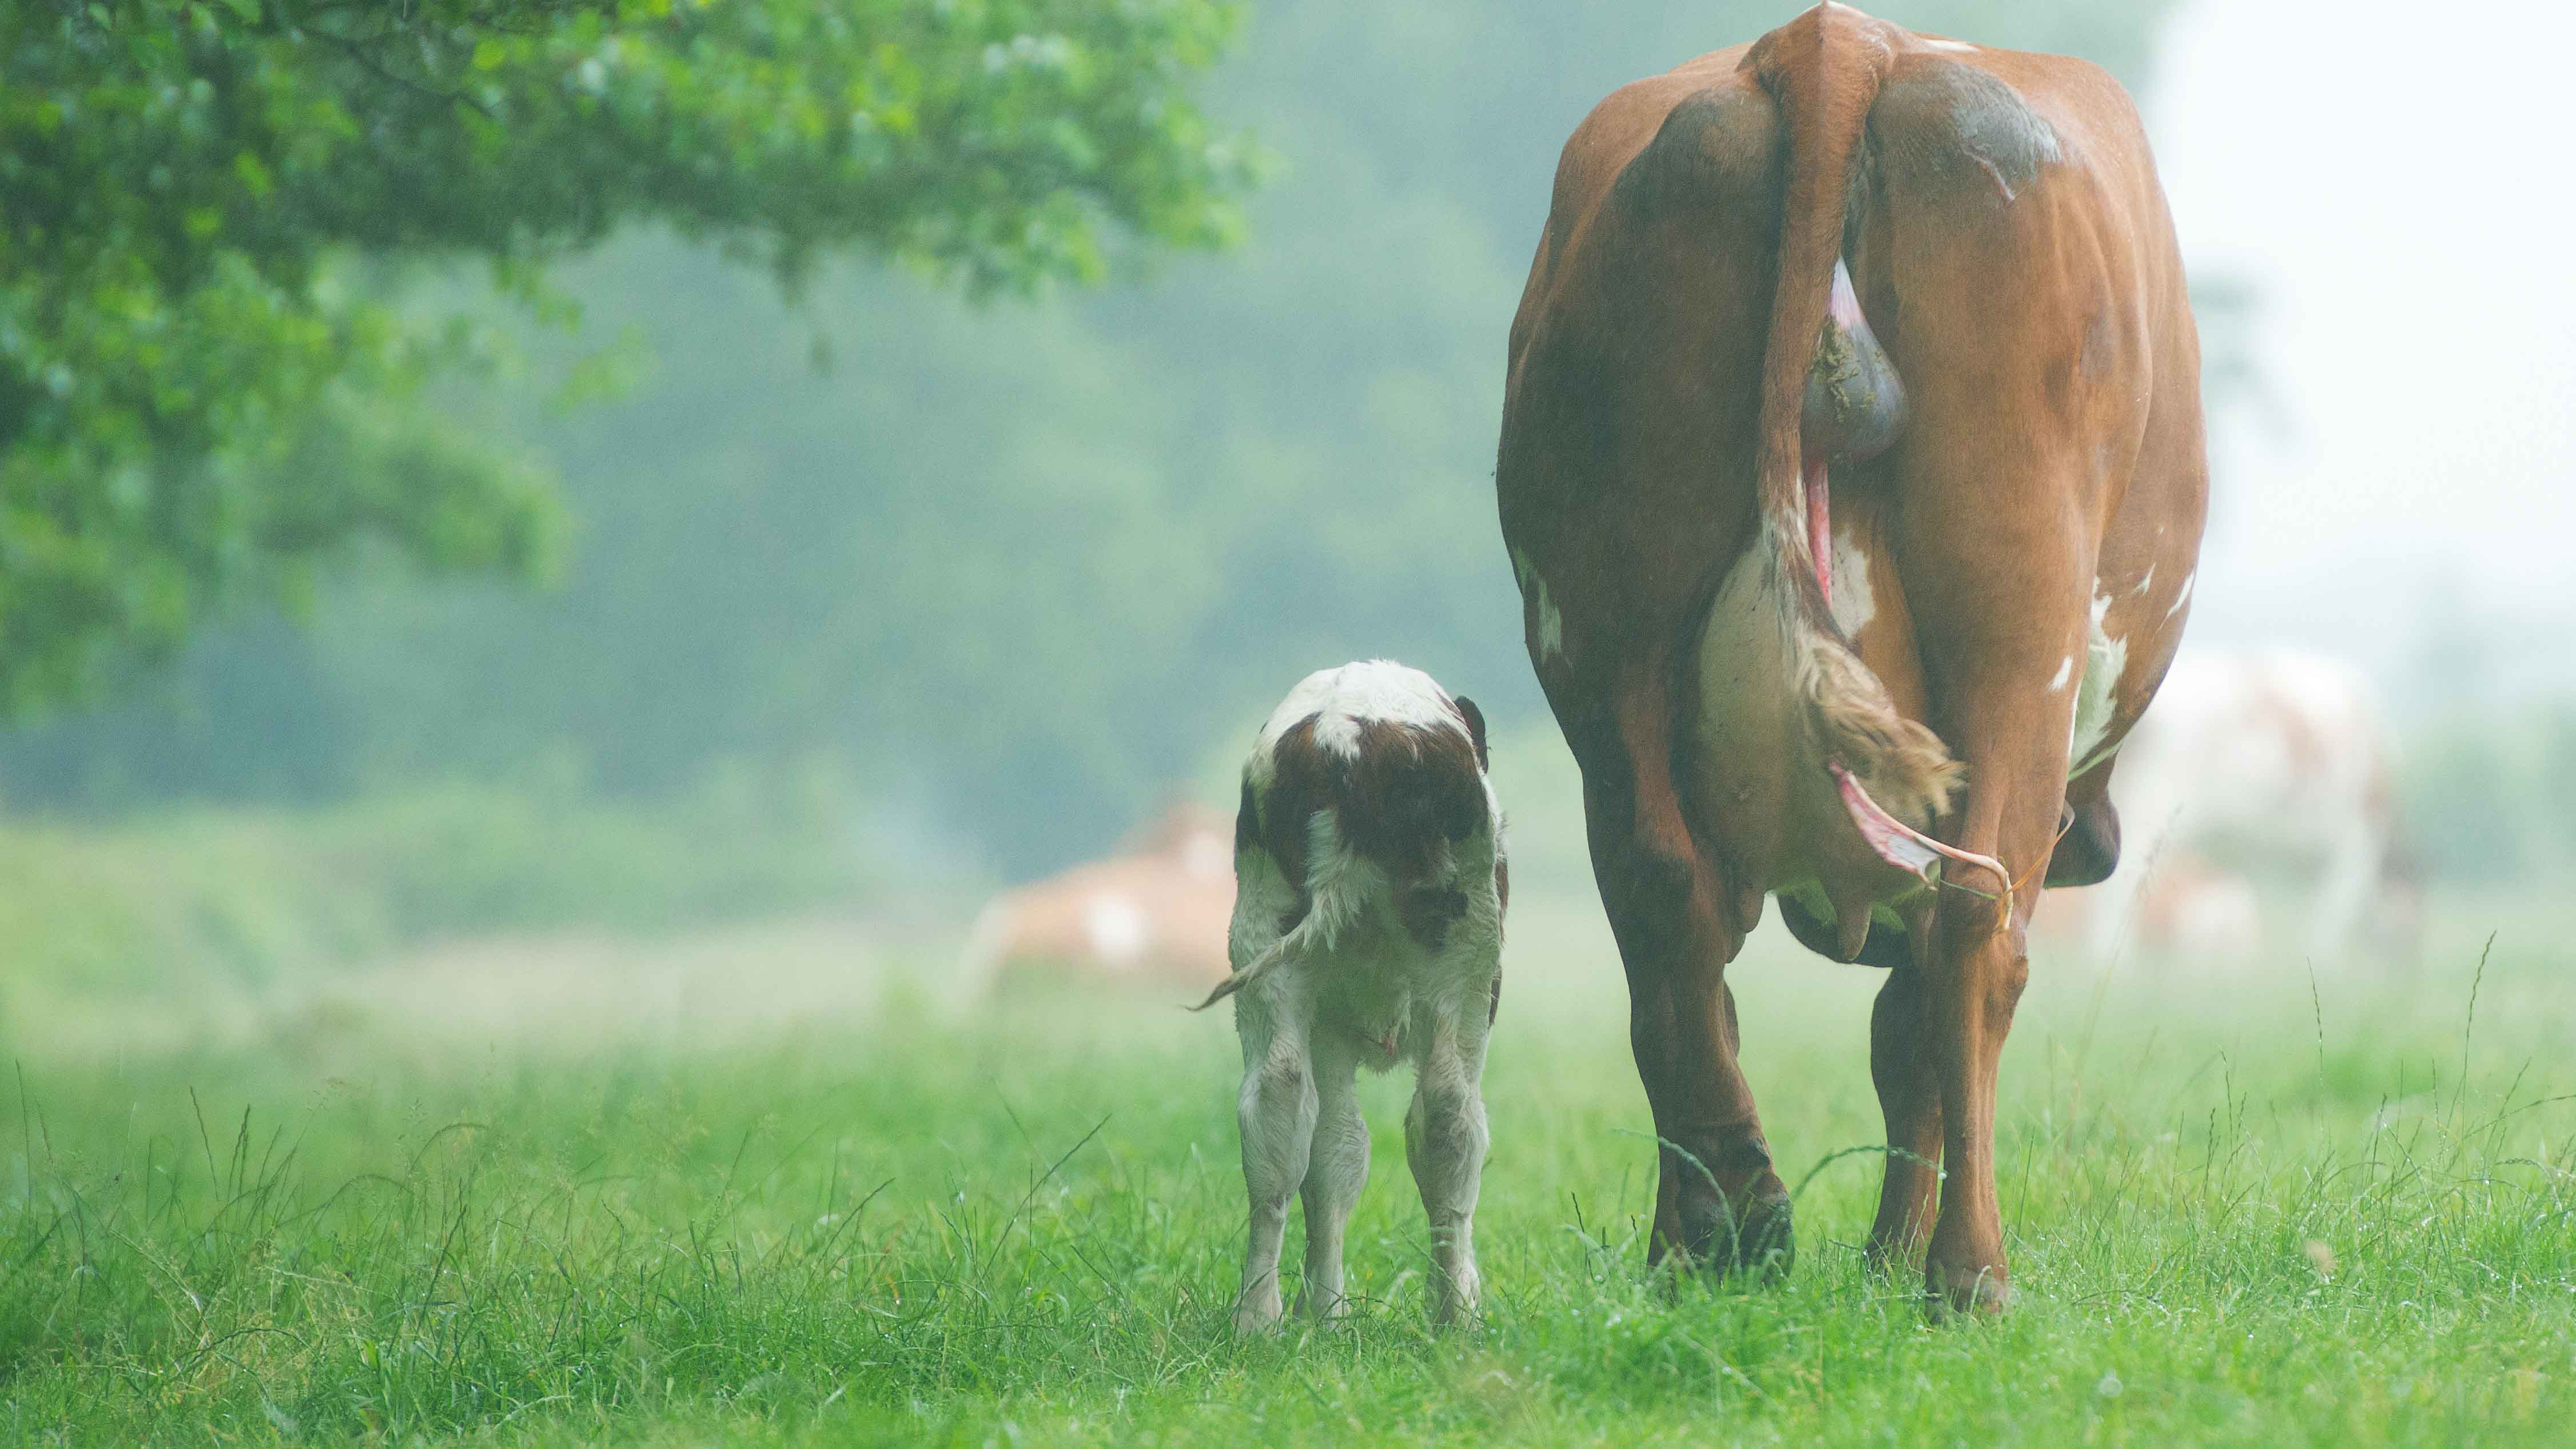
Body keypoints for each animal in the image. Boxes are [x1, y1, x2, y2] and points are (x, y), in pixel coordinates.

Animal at [1200, 660, 1504, 1330]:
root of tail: (1347, 740)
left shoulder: (1329, 1028)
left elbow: (1334, 1155)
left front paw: (1326, 1314)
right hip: (1469, 961)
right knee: (1450, 1116)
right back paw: (1455, 1314)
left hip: (1265, 944)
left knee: (1279, 1108)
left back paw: (1258, 1317)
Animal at [1504, 2, 2205, 1309]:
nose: (2100, 839)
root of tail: (1835, 41)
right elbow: (1913, 1016)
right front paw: (1893, 1255)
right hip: (2019, 629)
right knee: (1976, 925)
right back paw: (1967, 1273)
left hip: (1597, 627)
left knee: (1663, 903)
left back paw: (1716, 1230)